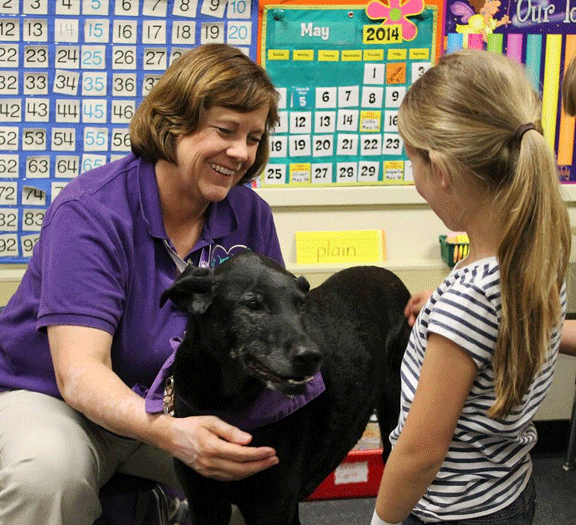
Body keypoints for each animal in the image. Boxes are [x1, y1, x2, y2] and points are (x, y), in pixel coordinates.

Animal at [160, 250, 412, 524]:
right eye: (253, 304)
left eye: (300, 304)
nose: (312, 356)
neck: (228, 403)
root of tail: (390, 277)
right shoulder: (204, 504)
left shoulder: (273, 508)